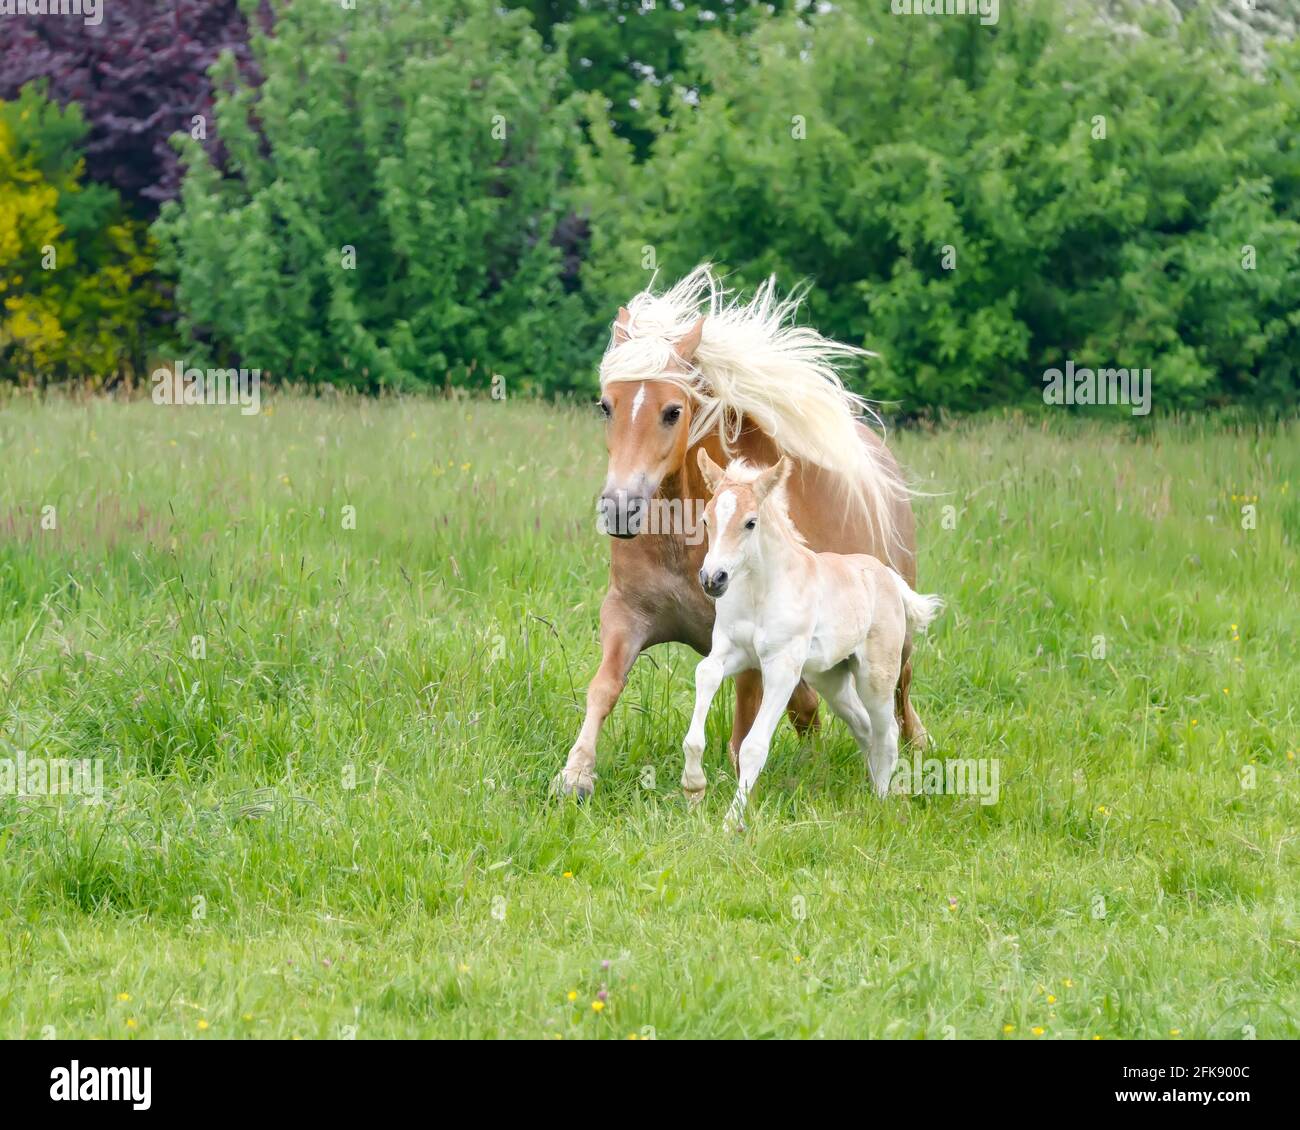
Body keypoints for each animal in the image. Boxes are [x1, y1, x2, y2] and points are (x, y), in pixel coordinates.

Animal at [559, 265, 925, 795]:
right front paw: (576, 774)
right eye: (606, 406)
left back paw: (915, 747)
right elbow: (604, 687)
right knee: (811, 710)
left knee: (899, 687)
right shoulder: (627, 614)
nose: (619, 509)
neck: (684, 541)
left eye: (672, 411)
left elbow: (743, 723)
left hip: (893, 628)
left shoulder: (748, 644)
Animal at [681, 452, 946, 827]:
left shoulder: (782, 668)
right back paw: (870, 786)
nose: (712, 579)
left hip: (875, 678)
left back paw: (881, 799)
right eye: (706, 520)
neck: (760, 590)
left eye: (750, 523)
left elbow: (753, 747)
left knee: (887, 733)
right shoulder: (730, 652)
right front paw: (694, 788)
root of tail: (888, 577)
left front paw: (732, 822)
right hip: (831, 679)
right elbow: (705, 676)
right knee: (864, 726)